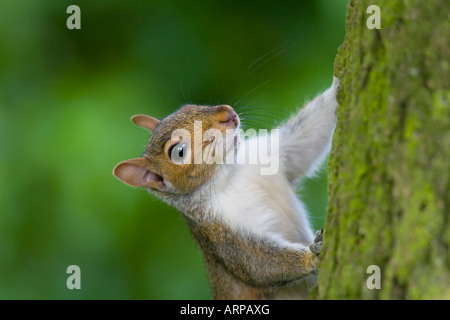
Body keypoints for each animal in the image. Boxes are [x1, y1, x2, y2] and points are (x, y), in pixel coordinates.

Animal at [114, 76, 340, 298]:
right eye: (179, 152)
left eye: (188, 106)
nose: (228, 114)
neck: (232, 173)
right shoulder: (220, 231)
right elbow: (258, 263)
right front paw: (313, 257)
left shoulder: (269, 154)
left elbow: (305, 144)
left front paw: (337, 83)